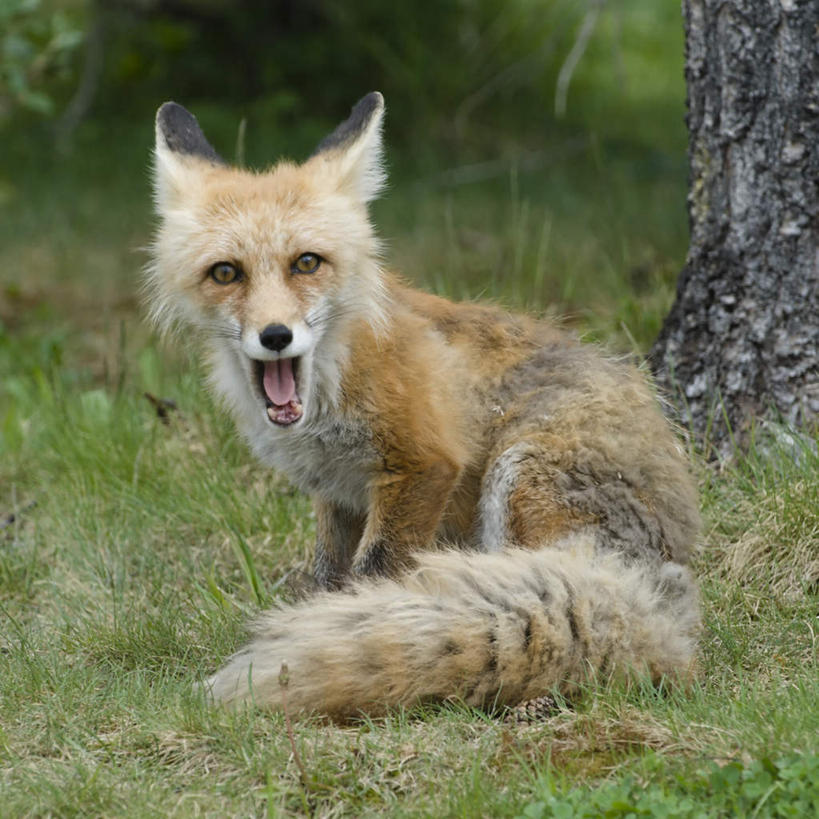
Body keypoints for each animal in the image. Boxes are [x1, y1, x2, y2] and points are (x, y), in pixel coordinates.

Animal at [146, 91, 700, 716]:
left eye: (306, 262)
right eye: (226, 273)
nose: (275, 336)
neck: (335, 377)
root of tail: (656, 583)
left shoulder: (423, 465)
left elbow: (374, 573)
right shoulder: (338, 492)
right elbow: (328, 577)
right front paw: (321, 618)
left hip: (520, 474)